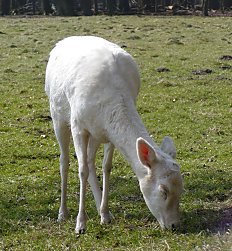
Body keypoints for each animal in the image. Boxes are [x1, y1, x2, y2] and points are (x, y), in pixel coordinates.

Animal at [45, 35, 183, 233]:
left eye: (181, 188)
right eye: (163, 190)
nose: (174, 225)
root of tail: (62, 42)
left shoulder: (109, 133)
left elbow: (106, 166)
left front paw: (105, 215)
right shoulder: (78, 126)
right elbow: (82, 170)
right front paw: (80, 224)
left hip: (96, 133)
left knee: (90, 160)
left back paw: (100, 209)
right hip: (57, 114)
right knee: (64, 160)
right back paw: (62, 213)